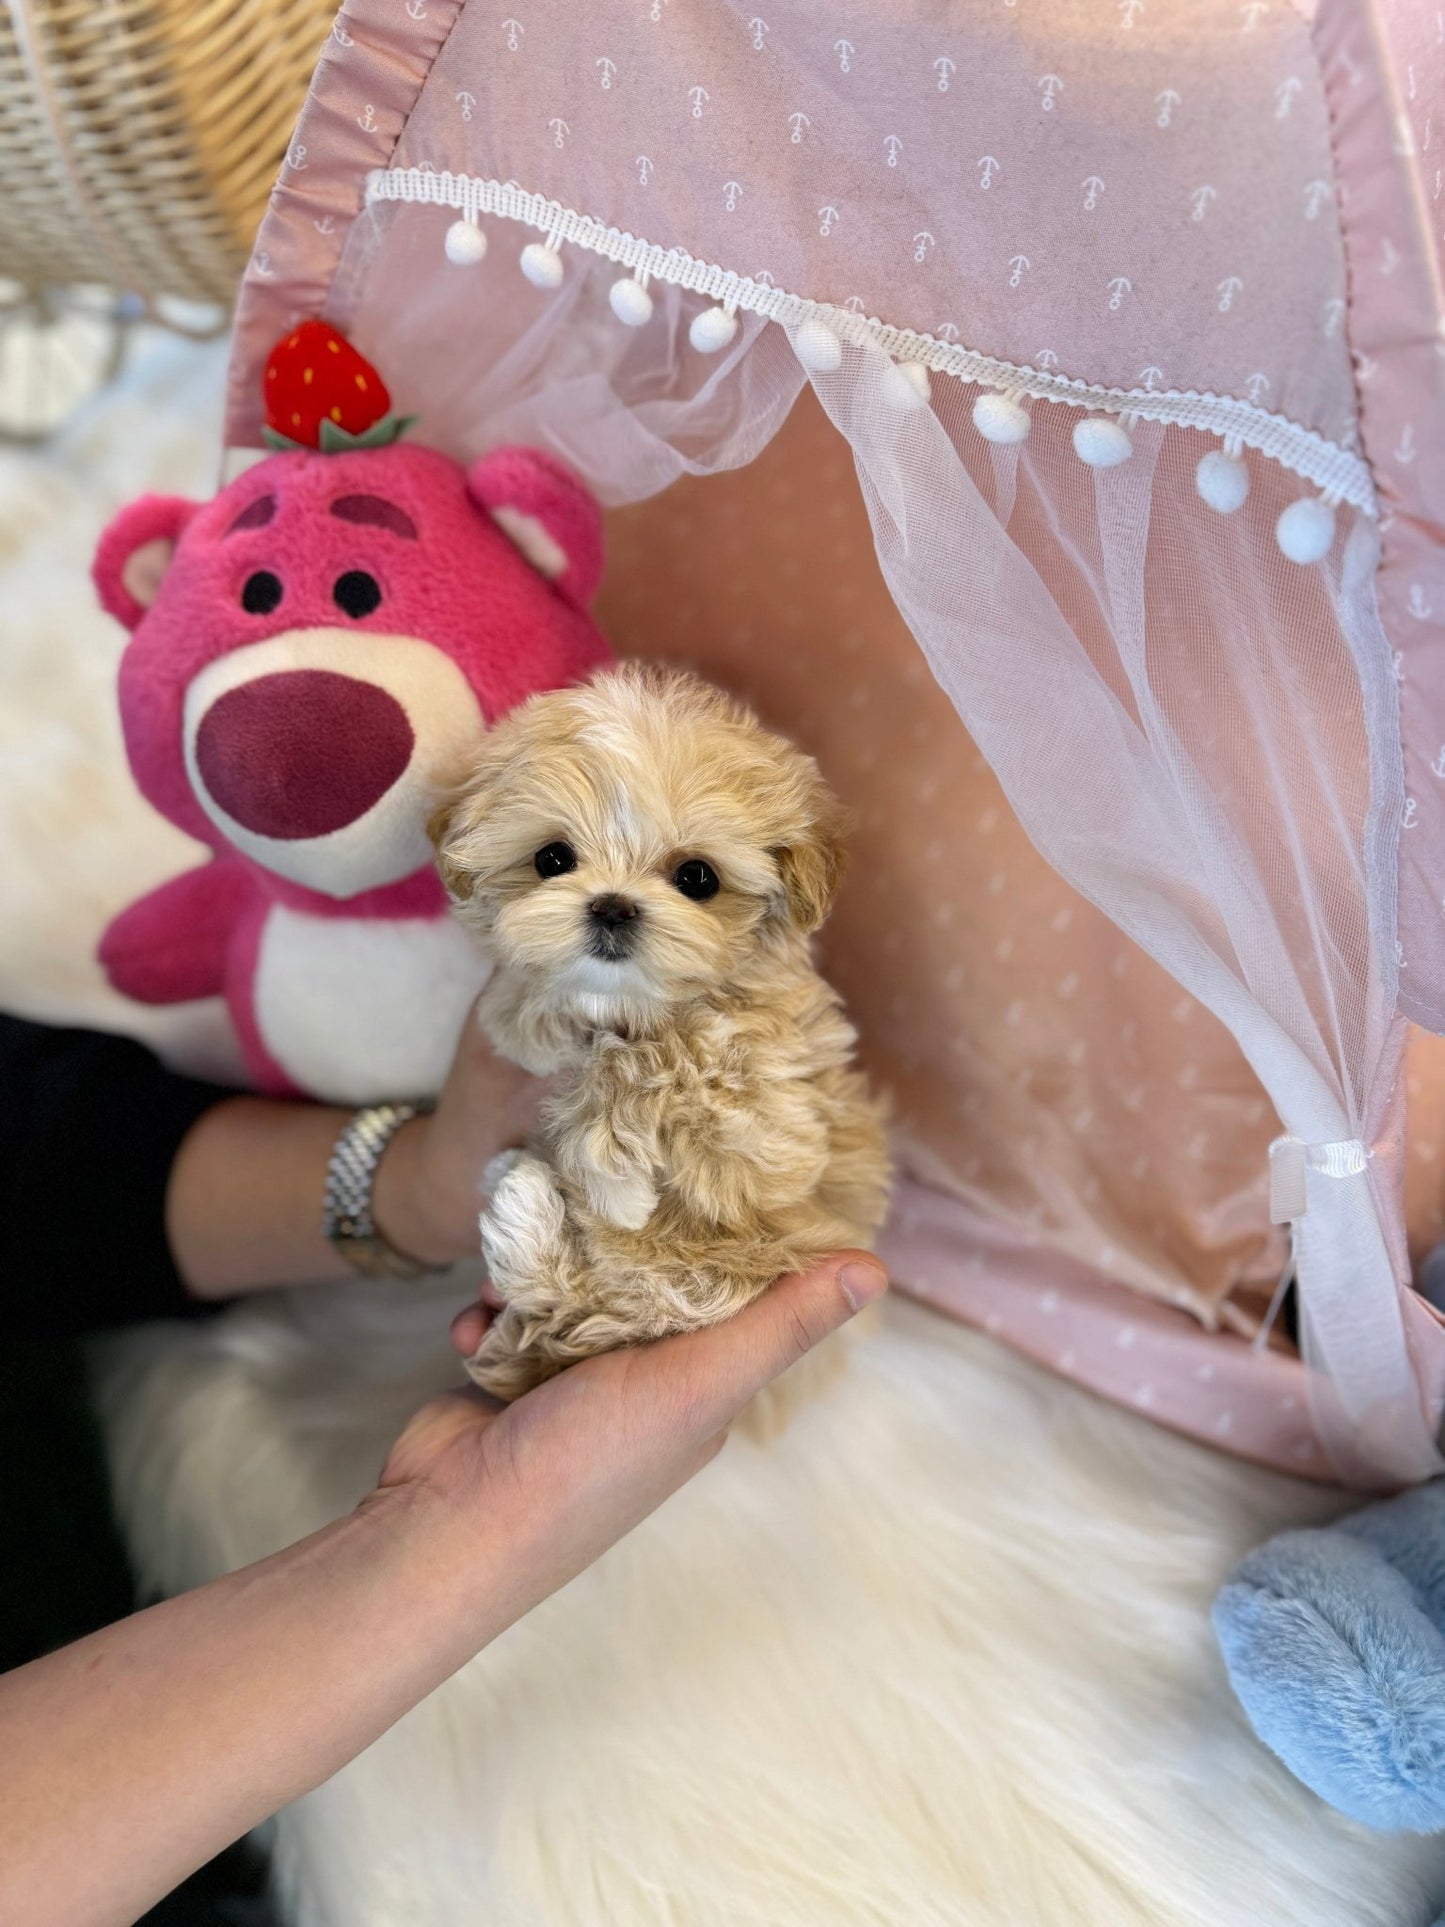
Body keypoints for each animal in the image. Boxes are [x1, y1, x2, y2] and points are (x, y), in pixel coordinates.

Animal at [429, 666, 890, 1402]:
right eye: (552, 858)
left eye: (696, 877)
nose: (612, 906)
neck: (633, 1005)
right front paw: (533, 1016)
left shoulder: (771, 1128)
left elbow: (661, 1059)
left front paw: (610, 1166)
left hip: (714, 1271)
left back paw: (521, 1195)